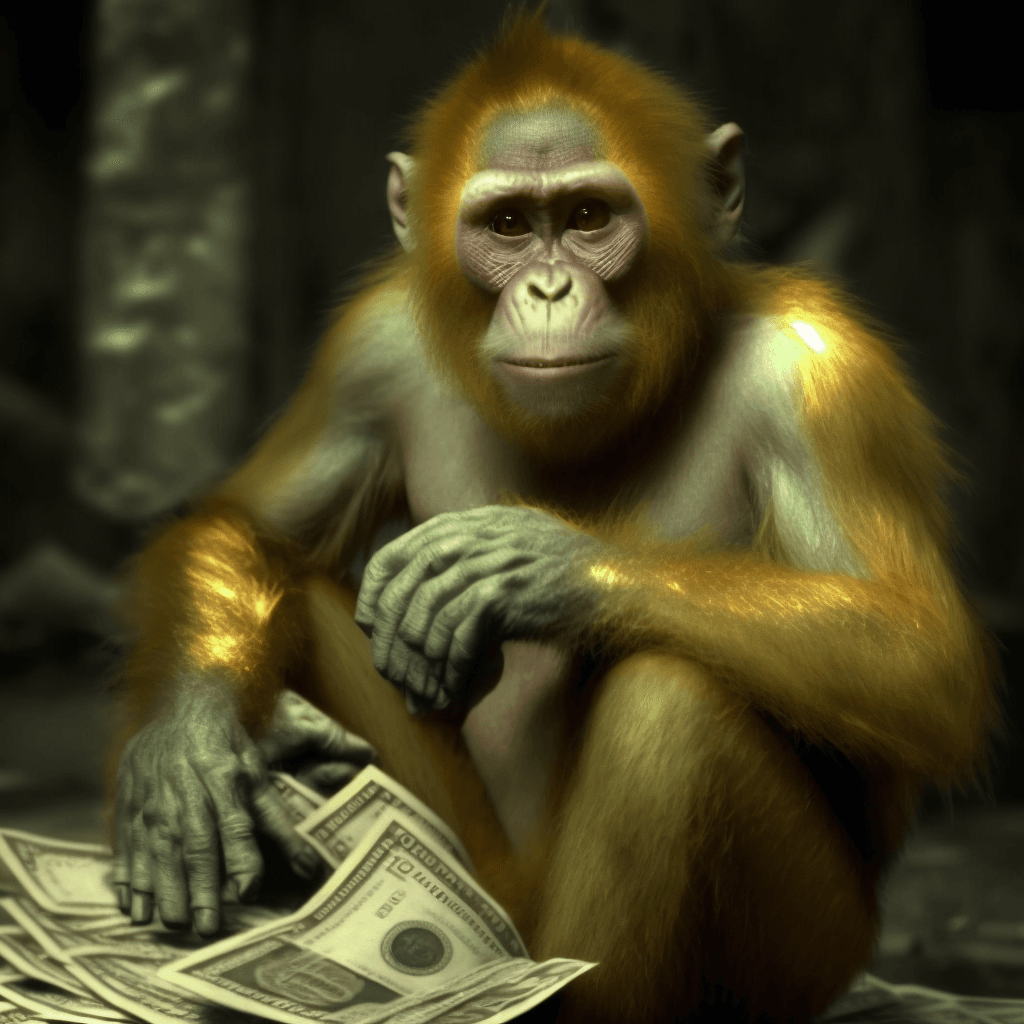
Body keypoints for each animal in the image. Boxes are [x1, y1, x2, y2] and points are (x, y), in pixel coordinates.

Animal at [108, 11, 1002, 1024]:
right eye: (506, 225)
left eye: (587, 218)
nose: (546, 289)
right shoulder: (366, 352)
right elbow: (242, 526)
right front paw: (186, 757)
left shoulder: (822, 381)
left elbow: (920, 649)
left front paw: (531, 562)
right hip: (483, 875)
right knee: (293, 590)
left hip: (811, 954)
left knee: (675, 700)